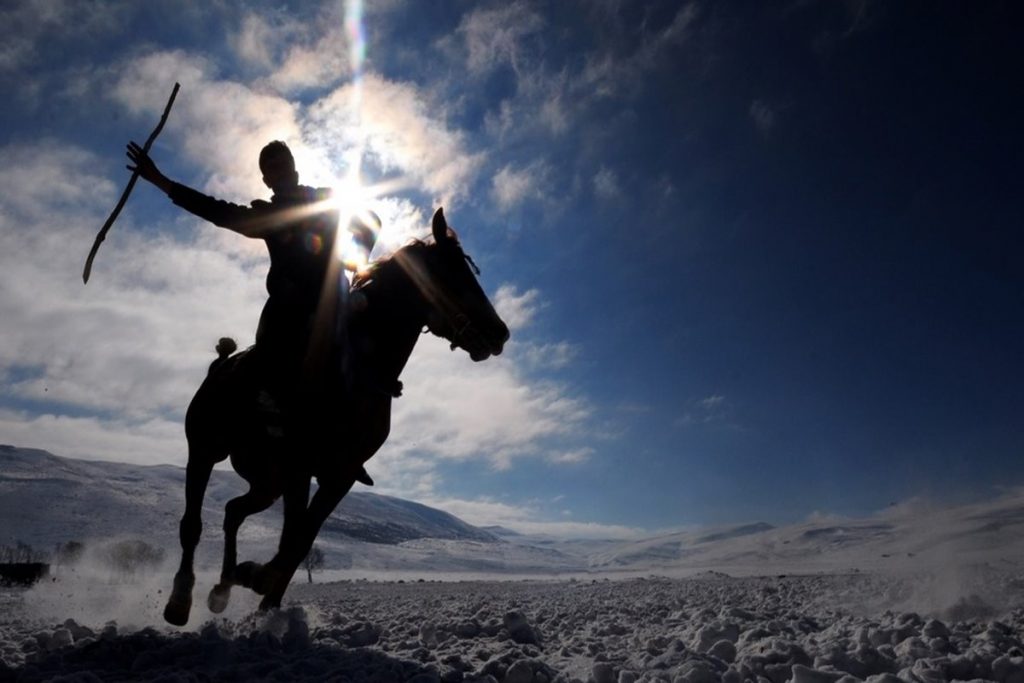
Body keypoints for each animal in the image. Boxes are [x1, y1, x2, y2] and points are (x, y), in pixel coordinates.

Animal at [165, 208, 512, 626]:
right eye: (453, 271)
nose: (499, 333)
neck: (358, 370)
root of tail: (221, 366)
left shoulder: (339, 475)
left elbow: (301, 539)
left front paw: (266, 599)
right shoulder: (300, 465)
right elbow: (294, 535)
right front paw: (260, 578)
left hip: (267, 482)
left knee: (234, 511)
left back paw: (223, 588)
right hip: (206, 450)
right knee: (192, 525)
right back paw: (180, 600)